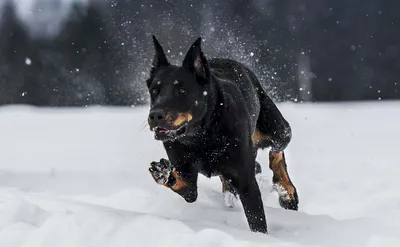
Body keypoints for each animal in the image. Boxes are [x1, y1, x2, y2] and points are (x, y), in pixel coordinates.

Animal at [146, 35, 296, 233]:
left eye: (182, 91)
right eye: (154, 91)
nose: (155, 115)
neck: (201, 136)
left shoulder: (245, 180)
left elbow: (257, 218)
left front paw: (259, 237)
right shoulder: (184, 167)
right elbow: (189, 190)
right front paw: (163, 173)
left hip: (278, 129)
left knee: (277, 151)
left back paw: (287, 193)